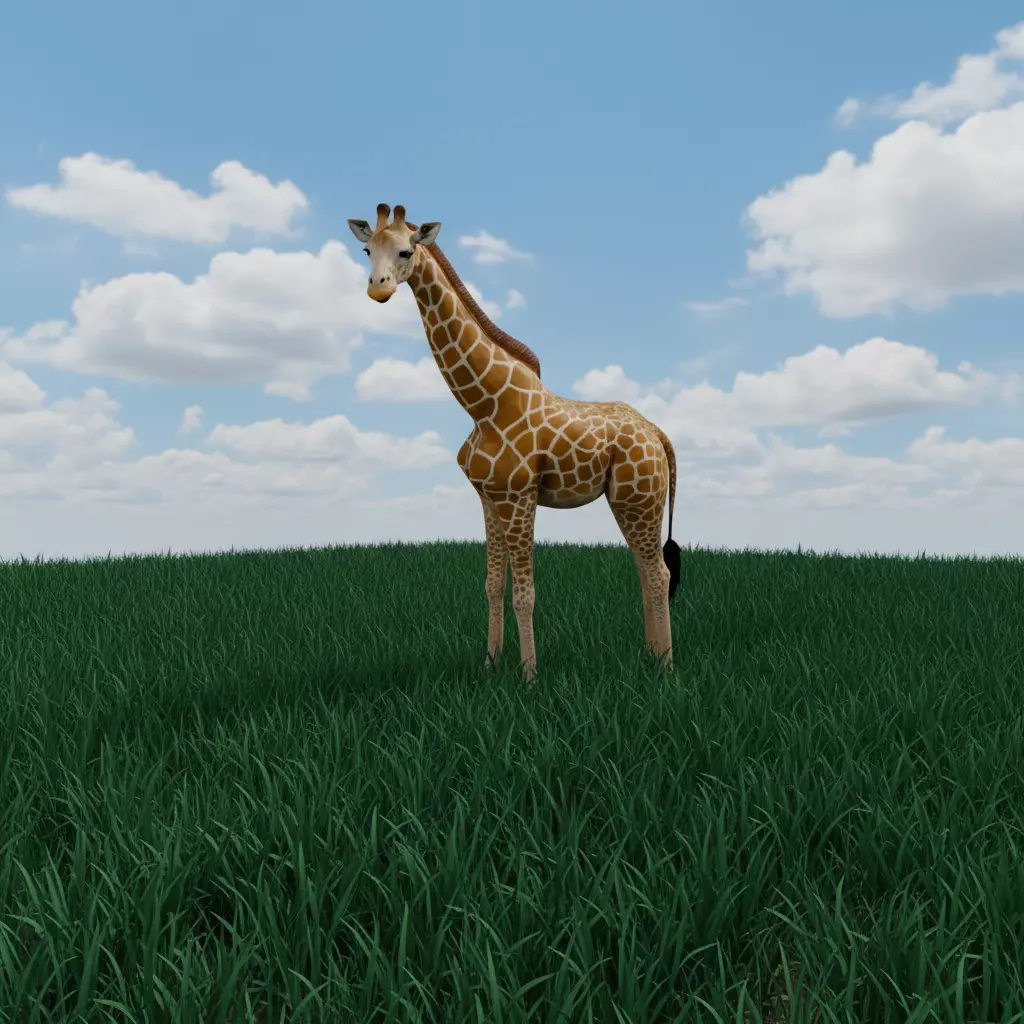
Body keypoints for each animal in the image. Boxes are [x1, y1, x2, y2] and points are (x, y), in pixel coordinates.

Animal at [348, 204, 682, 682]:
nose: (378, 289)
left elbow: (526, 592)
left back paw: (665, 668)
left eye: (406, 251)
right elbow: (493, 585)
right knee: (646, 570)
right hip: (633, 500)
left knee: (658, 573)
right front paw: (491, 665)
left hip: (638, 497)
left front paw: (528, 678)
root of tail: (657, 433)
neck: (483, 406)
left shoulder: (519, 496)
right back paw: (652, 658)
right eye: (366, 250)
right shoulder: (489, 497)